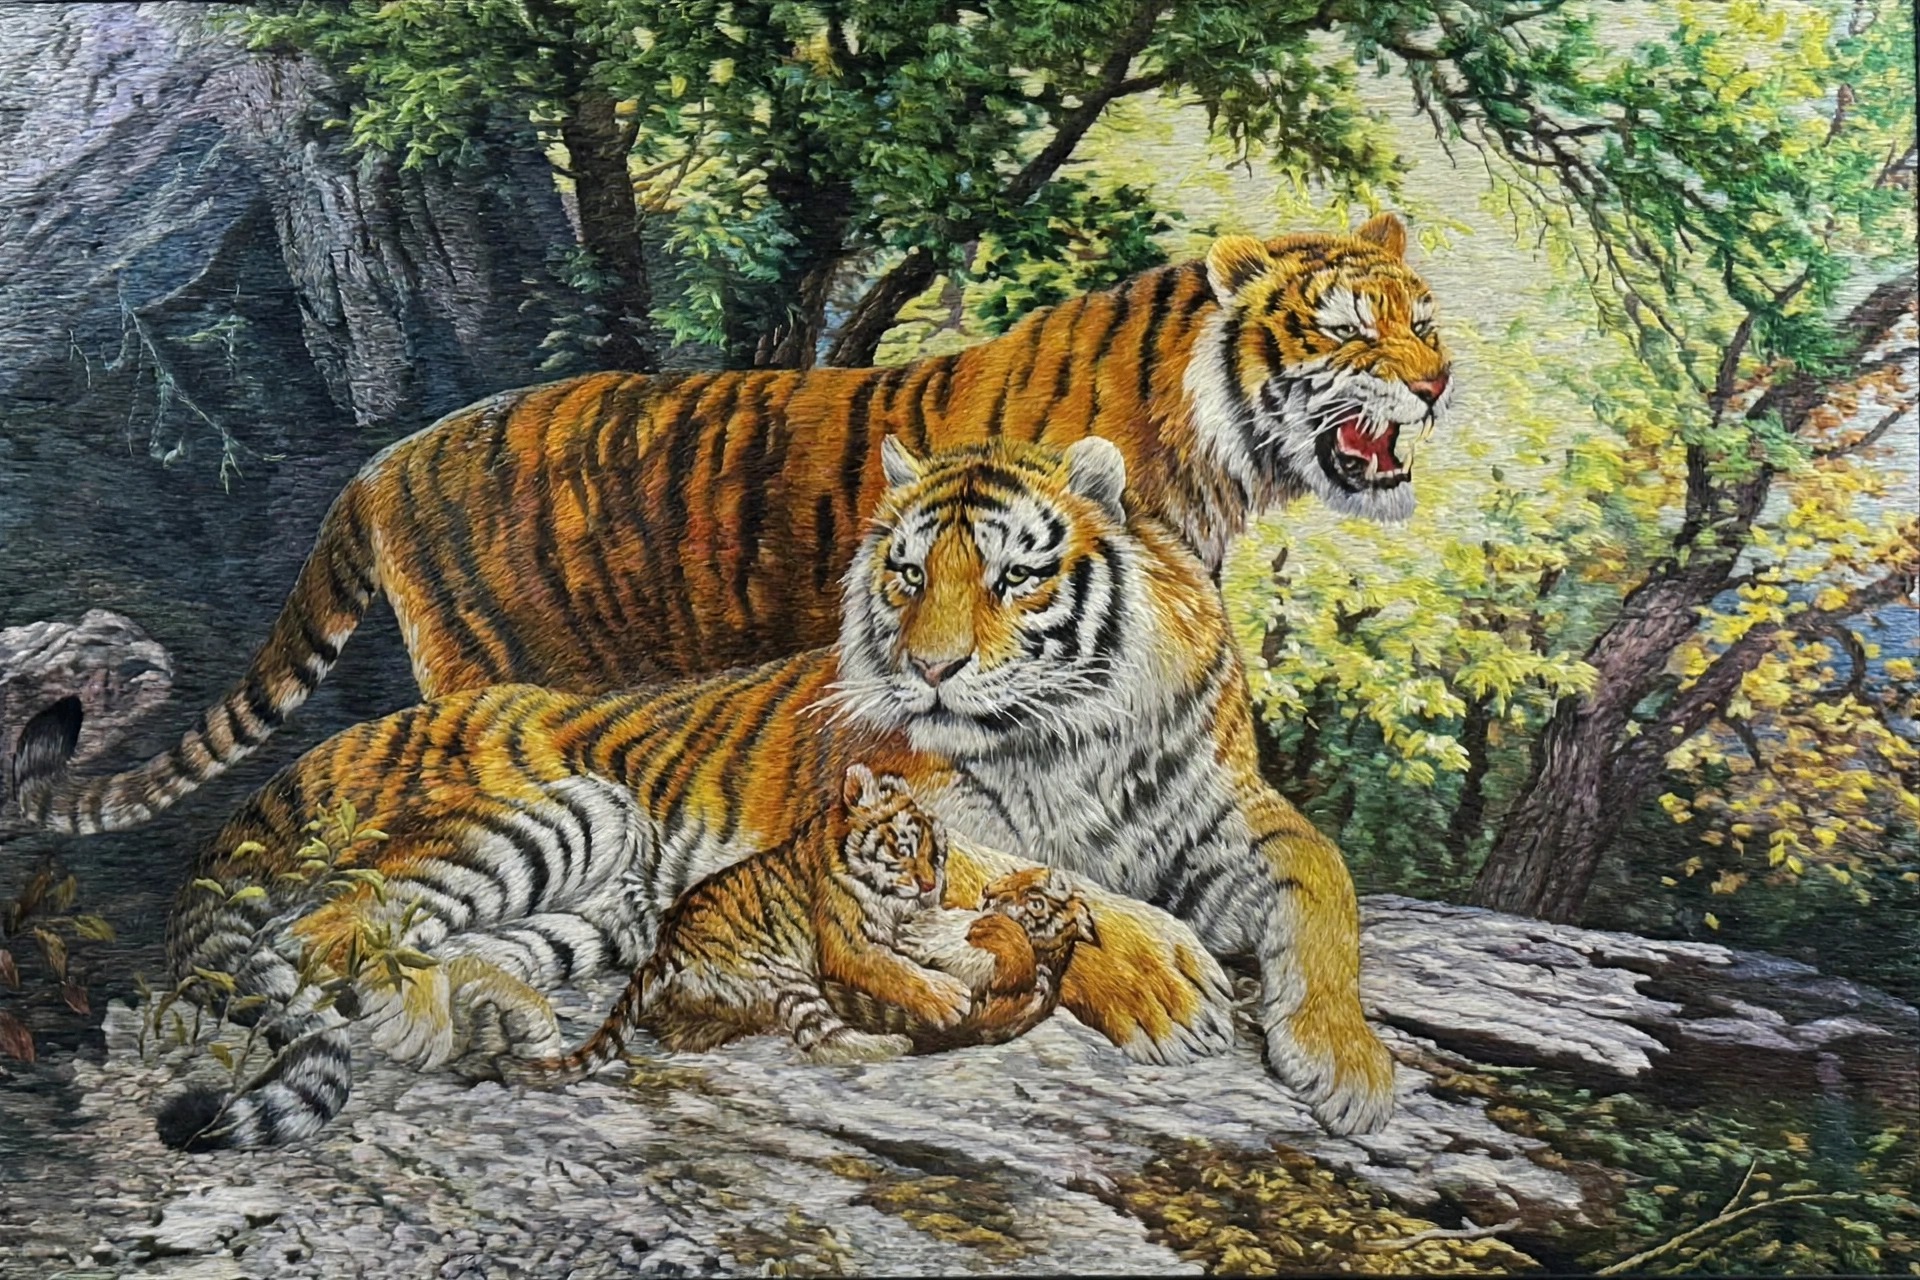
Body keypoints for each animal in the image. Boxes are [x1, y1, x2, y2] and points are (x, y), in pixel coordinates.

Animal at [8, 213, 1452, 839]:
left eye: (1424, 317)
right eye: (1348, 326)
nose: (1440, 383)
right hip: (491, 667)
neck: (1218, 455)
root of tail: (381, 460)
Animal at [76, 437, 1392, 1151]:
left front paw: (1347, 1064)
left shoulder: (1228, 808)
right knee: (327, 928)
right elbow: (1041, 873)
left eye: (1013, 577)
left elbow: (1324, 881)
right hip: (571, 806)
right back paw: (418, 1017)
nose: (928, 668)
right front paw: (1170, 981)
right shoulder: (917, 814)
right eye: (906, 572)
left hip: (604, 908)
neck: (1079, 727)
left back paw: (501, 1017)